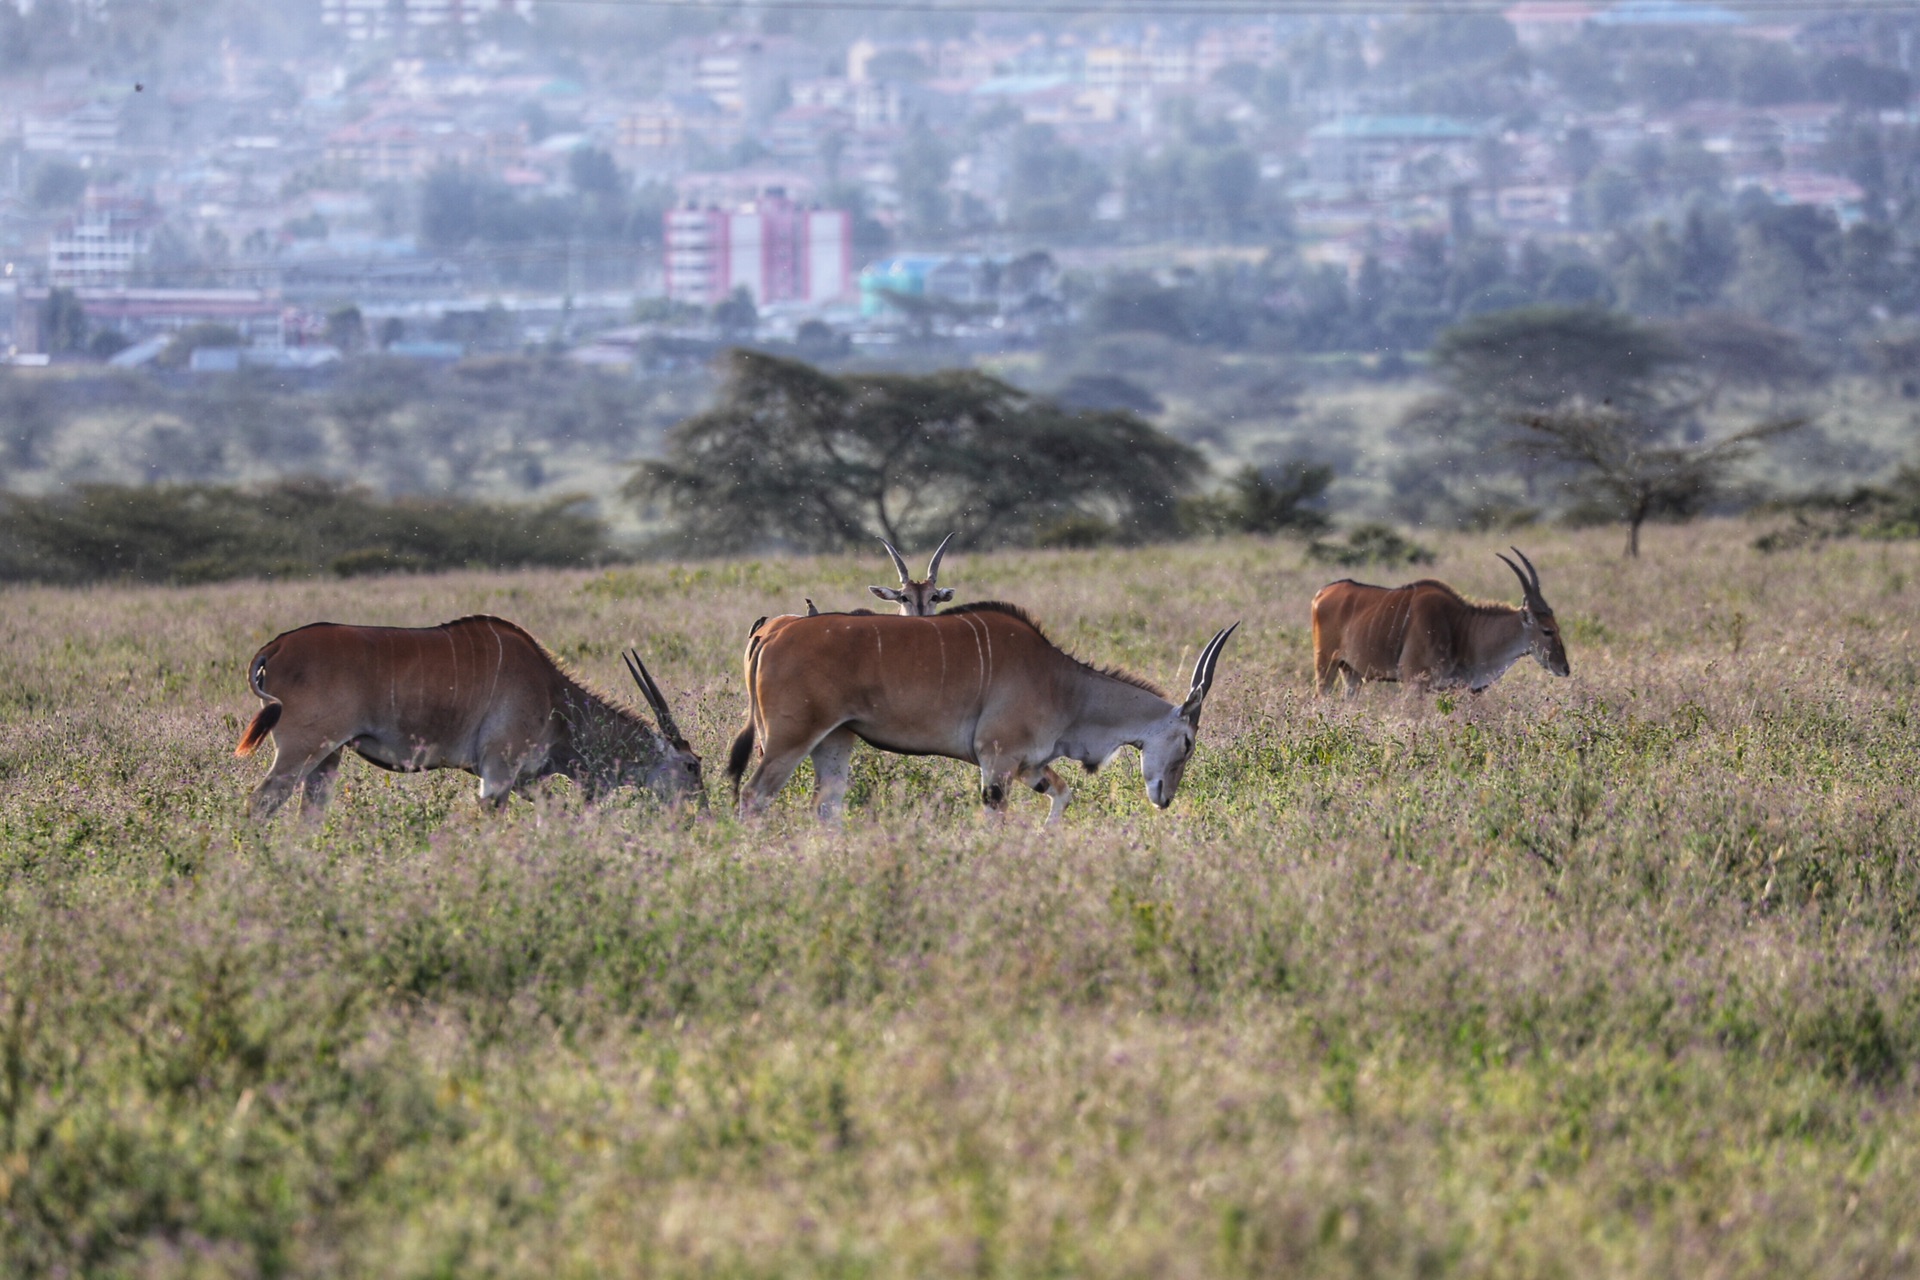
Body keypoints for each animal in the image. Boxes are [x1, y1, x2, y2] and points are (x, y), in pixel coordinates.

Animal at [238, 617, 706, 821]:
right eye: (691, 766)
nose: (703, 813)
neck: (552, 692)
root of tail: (275, 647)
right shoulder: (499, 772)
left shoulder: (523, 778)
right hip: (302, 750)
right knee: (260, 801)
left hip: (327, 758)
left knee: (308, 813)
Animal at [725, 606, 1236, 825]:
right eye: (1187, 743)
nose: (1164, 798)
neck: (1063, 684)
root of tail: (773, 628)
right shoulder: (998, 760)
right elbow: (997, 819)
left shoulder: (1028, 765)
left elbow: (1063, 795)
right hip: (790, 738)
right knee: (753, 795)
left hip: (834, 740)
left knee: (826, 806)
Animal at [1313, 545, 1566, 694]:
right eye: (1547, 630)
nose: (1565, 668)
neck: (1460, 628)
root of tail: (1322, 592)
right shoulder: (1414, 682)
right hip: (1326, 667)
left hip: (1351, 674)